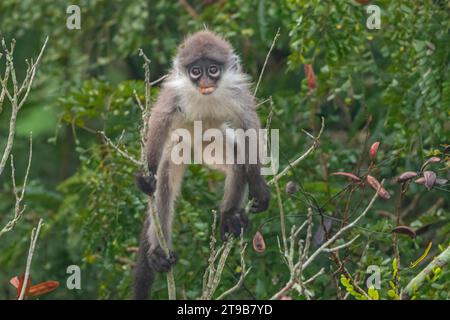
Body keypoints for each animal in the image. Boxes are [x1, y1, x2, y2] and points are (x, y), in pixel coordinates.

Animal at [132, 30, 268, 300]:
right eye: (196, 71)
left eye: (213, 70)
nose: (205, 79)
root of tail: (193, 150)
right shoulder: (174, 91)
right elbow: (159, 121)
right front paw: (146, 175)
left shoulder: (237, 91)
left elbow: (249, 129)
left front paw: (259, 187)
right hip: (176, 147)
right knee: (164, 186)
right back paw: (158, 254)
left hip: (210, 145)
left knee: (237, 162)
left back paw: (229, 218)